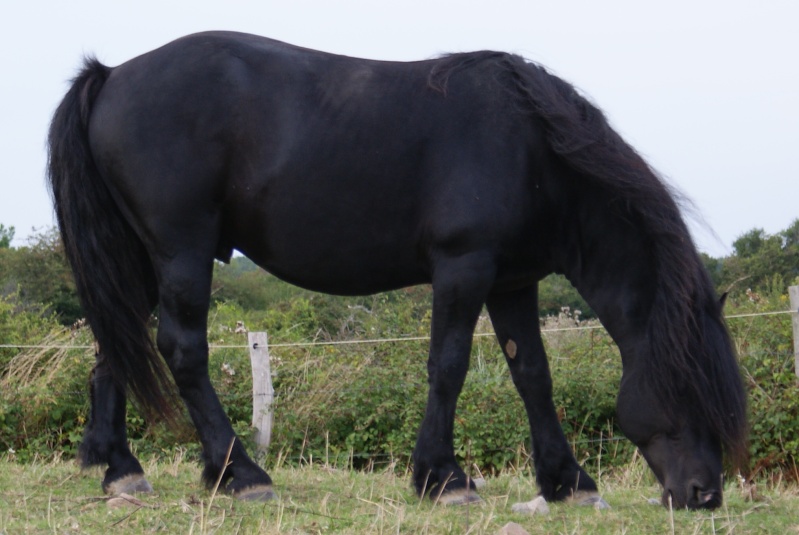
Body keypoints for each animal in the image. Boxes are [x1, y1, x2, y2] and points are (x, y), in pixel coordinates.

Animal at [48, 32, 752, 510]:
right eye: (691, 387)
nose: (704, 494)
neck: (533, 150)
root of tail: (111, 76)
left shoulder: (512, 280)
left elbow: (532, 374)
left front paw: (568, 481)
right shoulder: (464, 269)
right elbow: (449, 366)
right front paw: (444, 479)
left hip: (138, 260)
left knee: (115, 347)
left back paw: (122, 471)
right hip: (182, 252)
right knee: (181, 350)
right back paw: (241, 475)